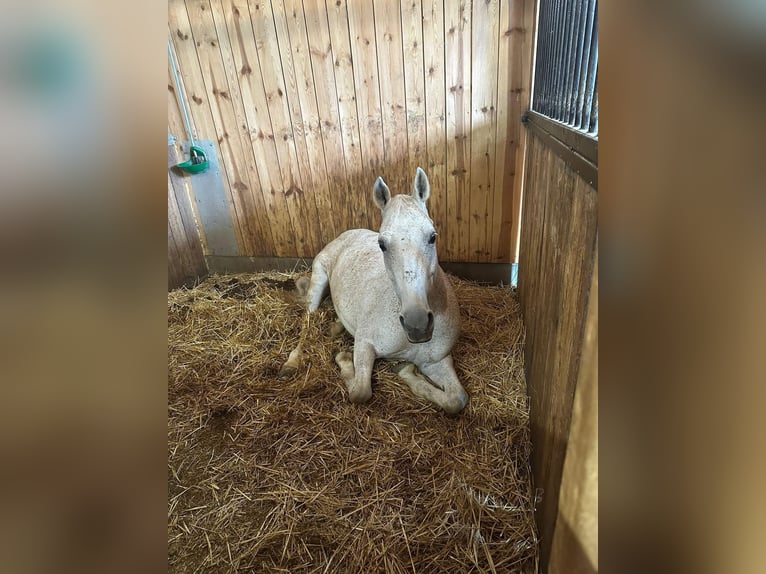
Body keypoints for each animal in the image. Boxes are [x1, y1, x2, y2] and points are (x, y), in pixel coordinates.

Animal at [284, 169, 468, 416]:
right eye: (381, 244)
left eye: (433, 236)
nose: (417, 324)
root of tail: (346, 234)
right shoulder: (364, 344)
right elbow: (360, 392)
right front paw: (343, 358)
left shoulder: (437, 361)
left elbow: (456, 399)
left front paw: (406, 373)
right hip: (318, 281)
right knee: (308, 324)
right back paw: (291, 362)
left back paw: (334, 327)